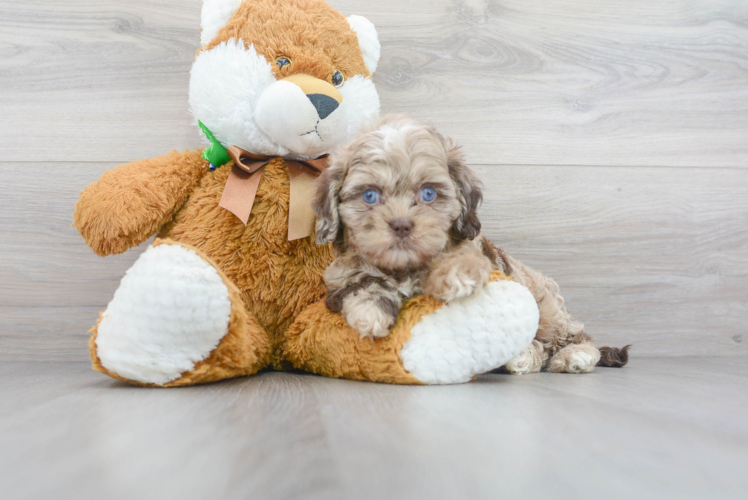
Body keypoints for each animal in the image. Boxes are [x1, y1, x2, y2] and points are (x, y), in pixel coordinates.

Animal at [312, 117, 628, 374]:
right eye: (369, 196)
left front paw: (456, 276)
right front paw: (370, 312)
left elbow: (464, 261)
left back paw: (573, 356)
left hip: (548, 308)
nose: (401, 225)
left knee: (572, 337)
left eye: (428, 193)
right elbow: (364, 283)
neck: (405, 268)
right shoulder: (339, 281)